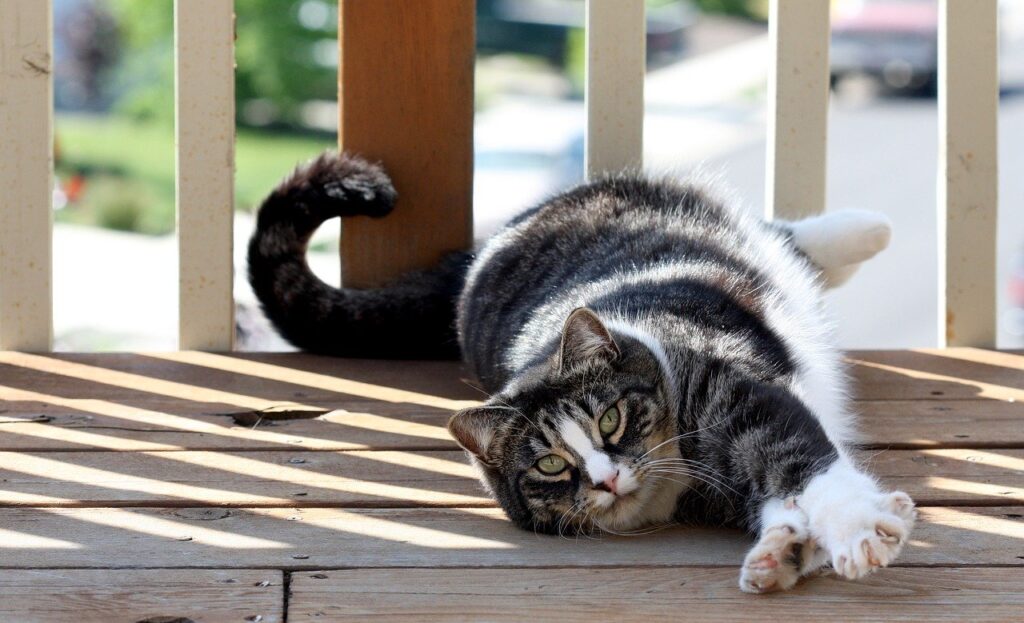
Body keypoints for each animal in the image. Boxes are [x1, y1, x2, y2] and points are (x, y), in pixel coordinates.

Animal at [249, 151, 921, 594]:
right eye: (549, 465)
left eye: (611, 417)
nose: (605, 478)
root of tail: (488, 247)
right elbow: (777, 496)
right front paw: (783, 551)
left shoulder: (736, 389)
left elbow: (796, 459)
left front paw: (856, 532)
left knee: (781, 239)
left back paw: (863, 231)